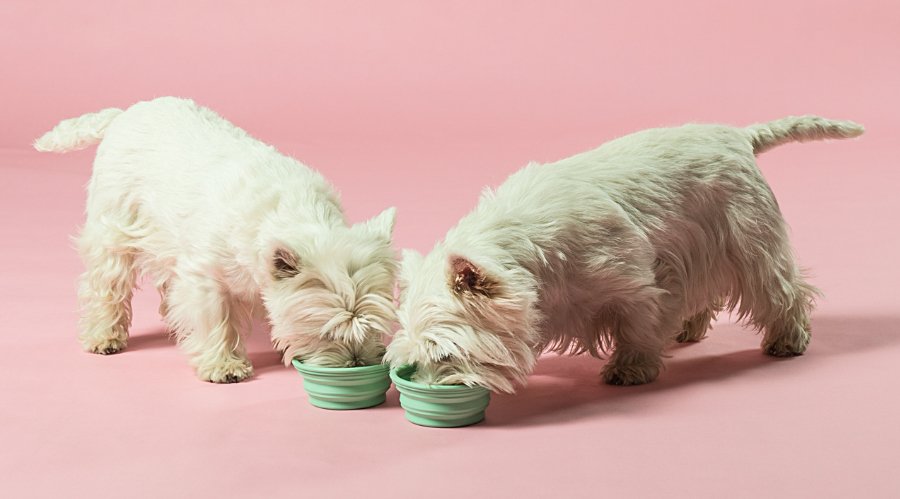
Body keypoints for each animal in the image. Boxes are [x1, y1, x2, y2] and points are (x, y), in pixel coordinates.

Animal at [37, 98, 398, 386]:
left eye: (372, 325)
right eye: (325, 331)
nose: (356, 363)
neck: (293, 210)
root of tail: (124, 113)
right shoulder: (205, 278)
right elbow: (215, 320)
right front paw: (224, 365)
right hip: (115, 225)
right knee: (107, 282)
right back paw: (105, 336)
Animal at [388, 115, 864, 392]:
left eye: (445, 355)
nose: (428, 390)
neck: (527, 250)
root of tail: (737, 136)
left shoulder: (636, 280)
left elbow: (639, 323)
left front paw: (631, 368)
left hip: (749, 237)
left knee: (780, 287)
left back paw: (788, 339)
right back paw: (689, 329)